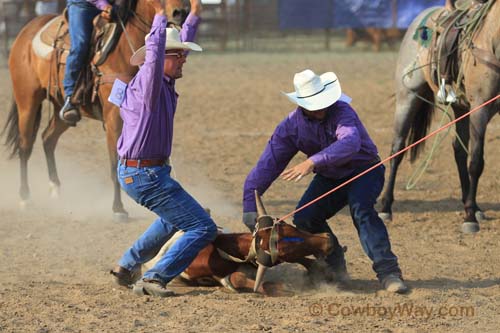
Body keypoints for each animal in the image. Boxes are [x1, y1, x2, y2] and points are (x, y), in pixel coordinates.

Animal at [1, 0, 188, 220]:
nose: (182, 12)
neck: (123, 51)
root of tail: (25, 31)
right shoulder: (114, 117)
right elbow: (114, 162)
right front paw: (118, 208)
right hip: (27, 101)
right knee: (25, 146)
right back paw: (25, 198)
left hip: (61, 110)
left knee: (48, 138)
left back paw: (55, 189)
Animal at [380, 1, 498, 233]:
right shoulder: (480, 108)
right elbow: (476, 162)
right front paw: (469, 219)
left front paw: (471, 211)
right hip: (407, 98)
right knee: (397, 150)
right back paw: (386, 207)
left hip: (461, 107)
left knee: (459, 150)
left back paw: (474, 206)